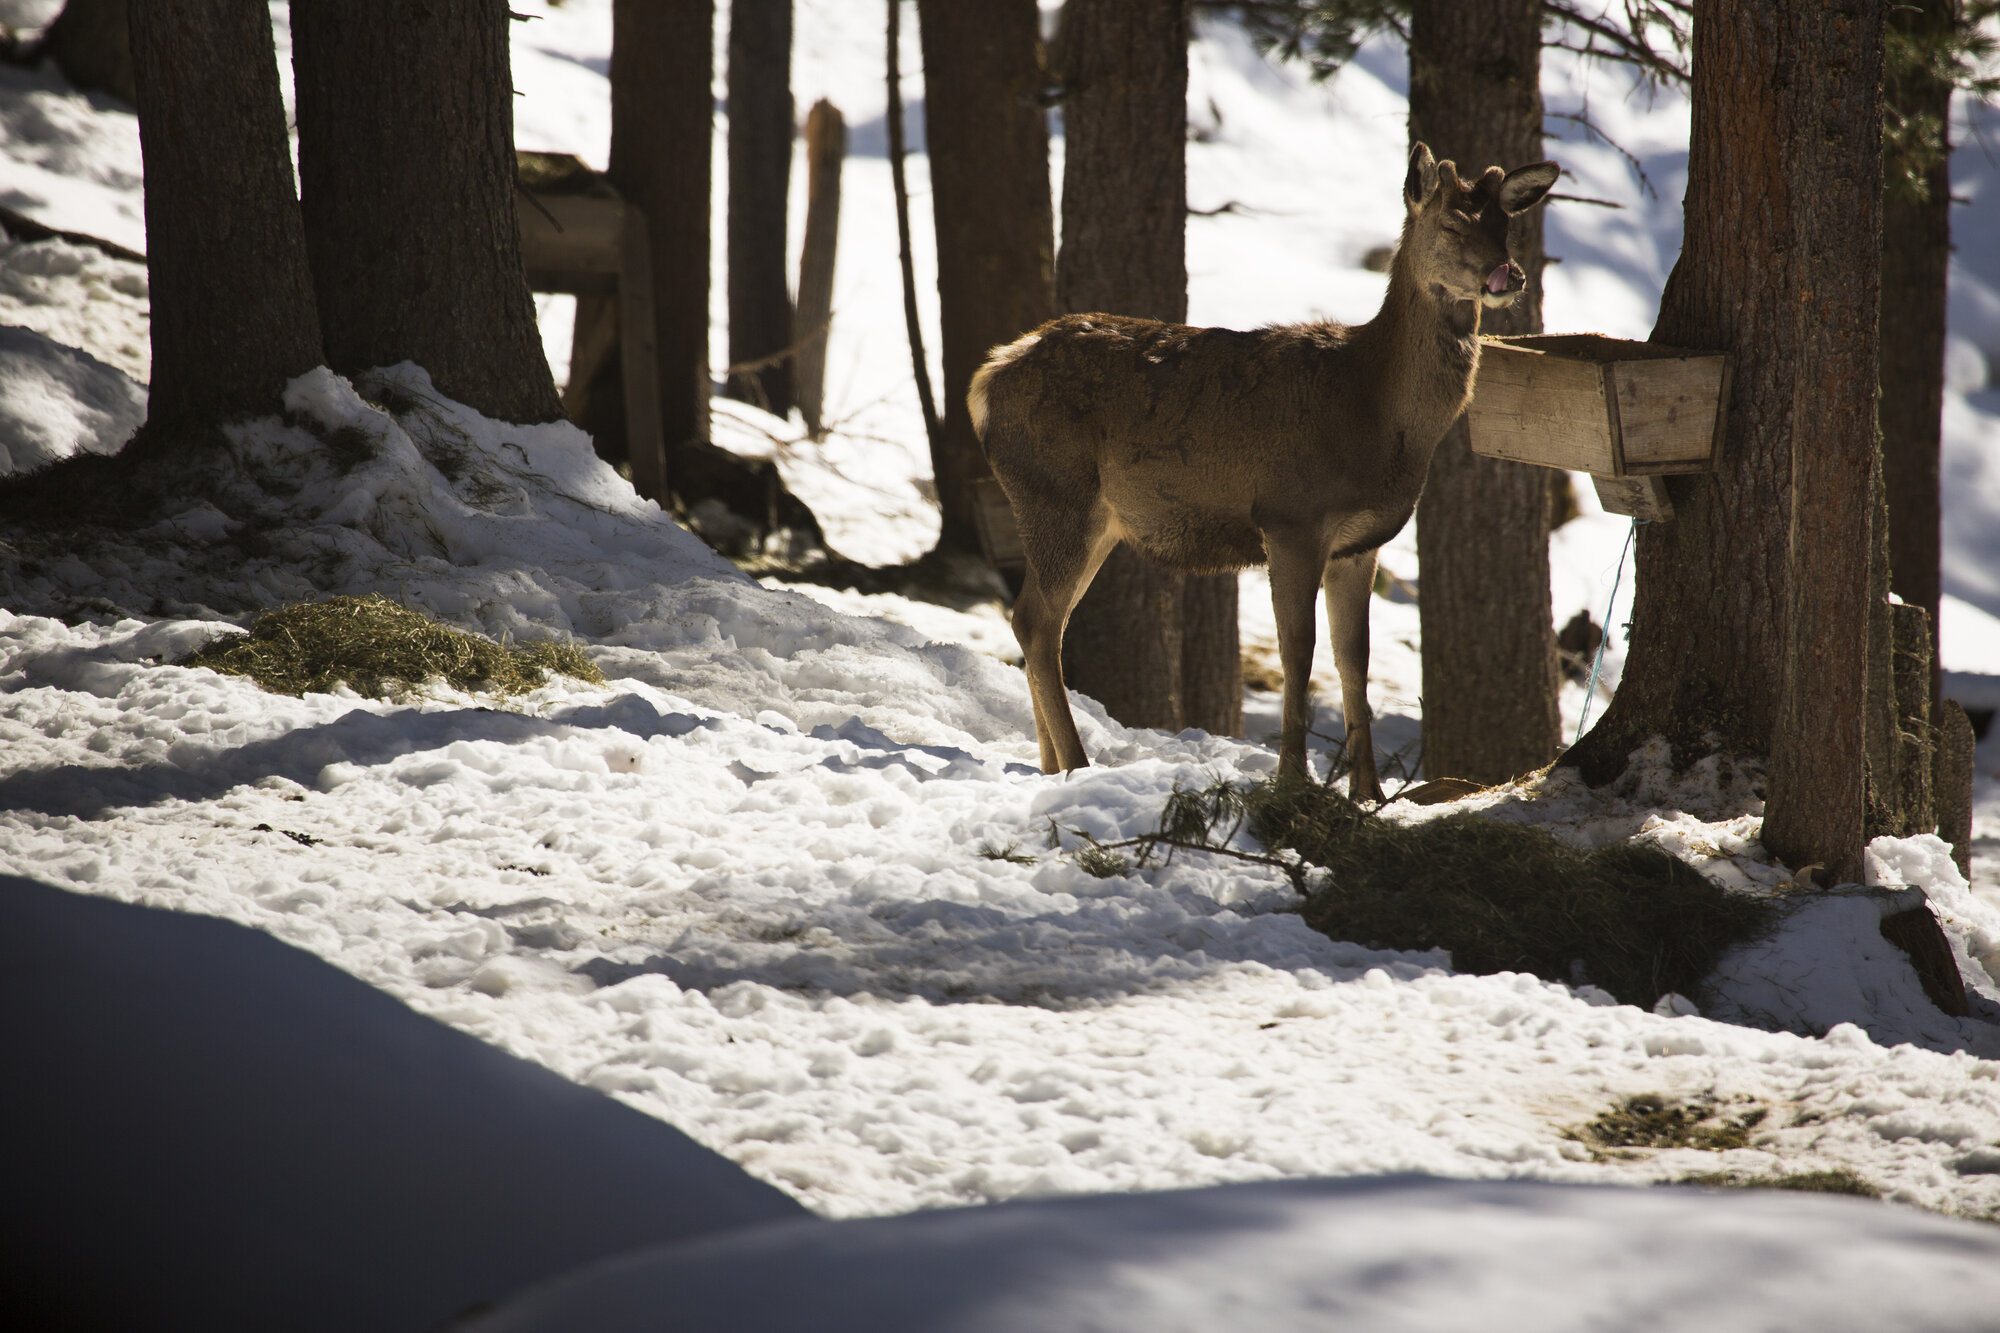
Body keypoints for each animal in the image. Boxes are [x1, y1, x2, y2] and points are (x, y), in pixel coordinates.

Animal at [968, 143, 1560, 800]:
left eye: (1505, 226)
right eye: (1452, 224)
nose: (1509, 276)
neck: (1374, 406)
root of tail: (988, 376)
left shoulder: (1360, 543)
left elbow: (1354, 659)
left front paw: (1369, 794)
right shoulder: (1290, 517)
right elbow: (1297, 651)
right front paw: (1294, 780)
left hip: (1091, 518)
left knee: (1040, 621)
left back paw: (1050, 766)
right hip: (1056, 492)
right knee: (1036, 621)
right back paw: (1076, 764)